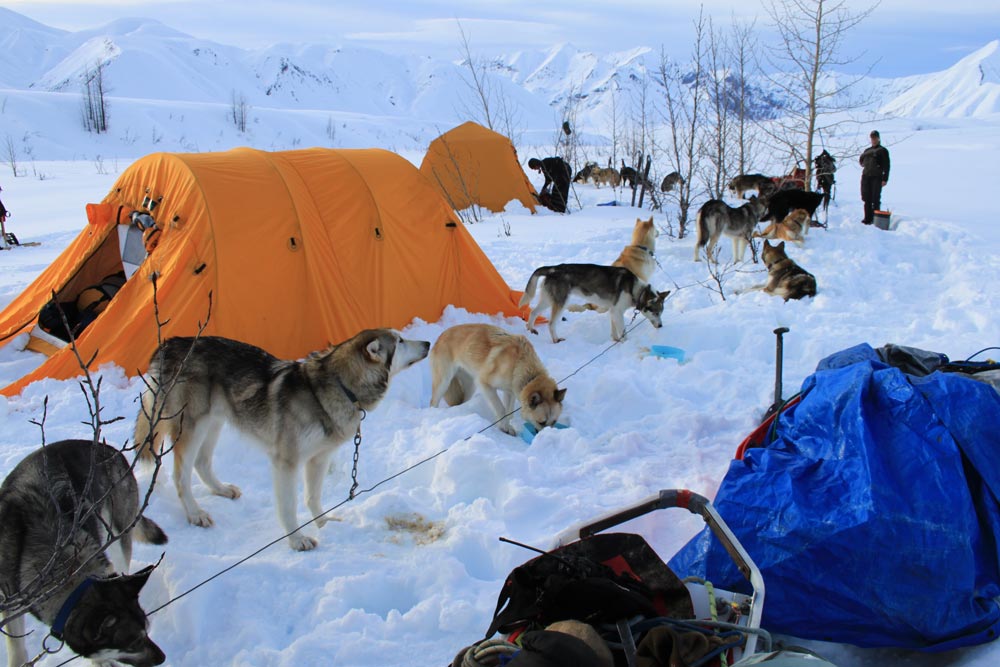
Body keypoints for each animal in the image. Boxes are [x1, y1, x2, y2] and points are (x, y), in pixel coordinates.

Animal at [0, 438, 168, 667]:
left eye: (148, 630)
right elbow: (17, 651)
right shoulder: (10, 603)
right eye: (134, 644)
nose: (163, 657)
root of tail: (110, 449)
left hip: (116, 534)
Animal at [134, 328, 430, 552]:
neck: (340, 387)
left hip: (214, 421)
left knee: (202, 463)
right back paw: (196, 513)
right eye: (400, 341)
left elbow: (313, 498)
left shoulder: (319, 458)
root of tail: (171, 342)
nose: (427, 342)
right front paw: (297, 540)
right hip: (193, 426)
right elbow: (289, 507)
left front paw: (324, 526)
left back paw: (222, 490)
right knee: (180, 475)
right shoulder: (286, 462)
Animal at [430, 324, 568, 438]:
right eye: (541, 422)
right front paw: (505, 427)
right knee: (433, 402)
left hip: (470, 386)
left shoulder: (510, 391)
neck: (520, 364)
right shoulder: (485, 384)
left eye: (554, 422)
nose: (548, 436)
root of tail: (441, 335)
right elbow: (501, 408)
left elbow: (508, 411)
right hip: (444, 381)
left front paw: (508, 424)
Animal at [520, 262, 668, 344]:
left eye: (661, 313)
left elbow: (614, 331)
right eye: (655, 312)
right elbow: (623, 332)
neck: (635, 289)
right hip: (561, 302)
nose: (661, 325)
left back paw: (531, 329)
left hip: (548, 300)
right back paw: (556, 340)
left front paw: (616, 341)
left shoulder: (614, 312)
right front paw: (626, 343)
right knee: (551, 324)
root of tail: (553, 268)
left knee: (533, 312)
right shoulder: (618, 312)